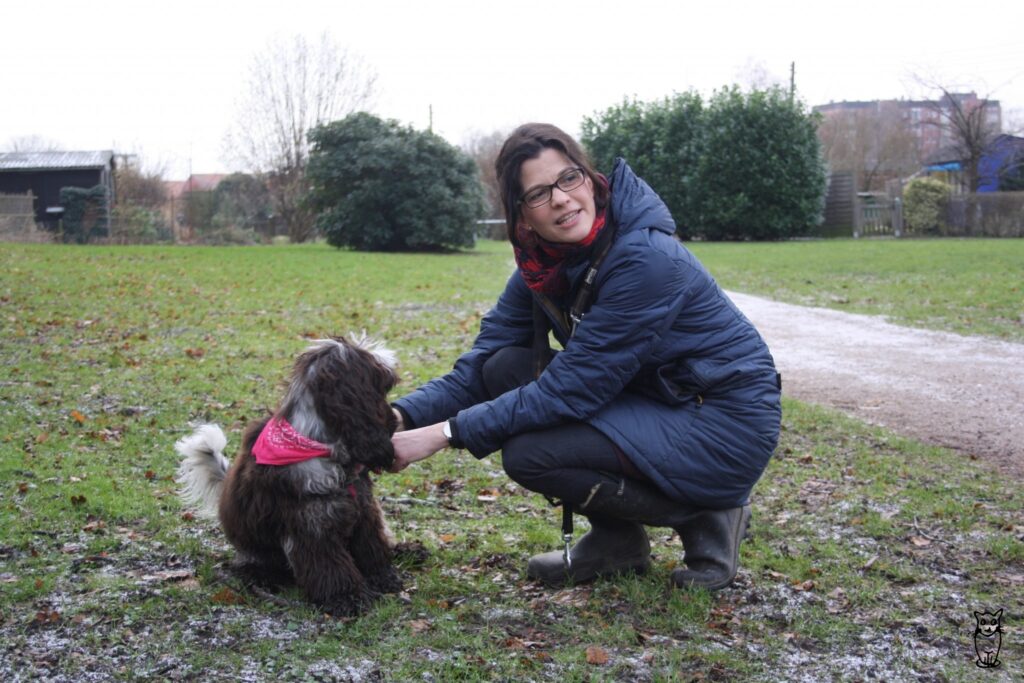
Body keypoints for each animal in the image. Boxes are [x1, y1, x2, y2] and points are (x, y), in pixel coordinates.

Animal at [174, 333, 401, 618]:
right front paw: (349, 598)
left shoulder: (364, 509)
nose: (394, 422)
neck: (320, 445)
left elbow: (372, 546)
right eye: (381, 383)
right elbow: (331, 566)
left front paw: (384, 577)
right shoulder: (312, 526)